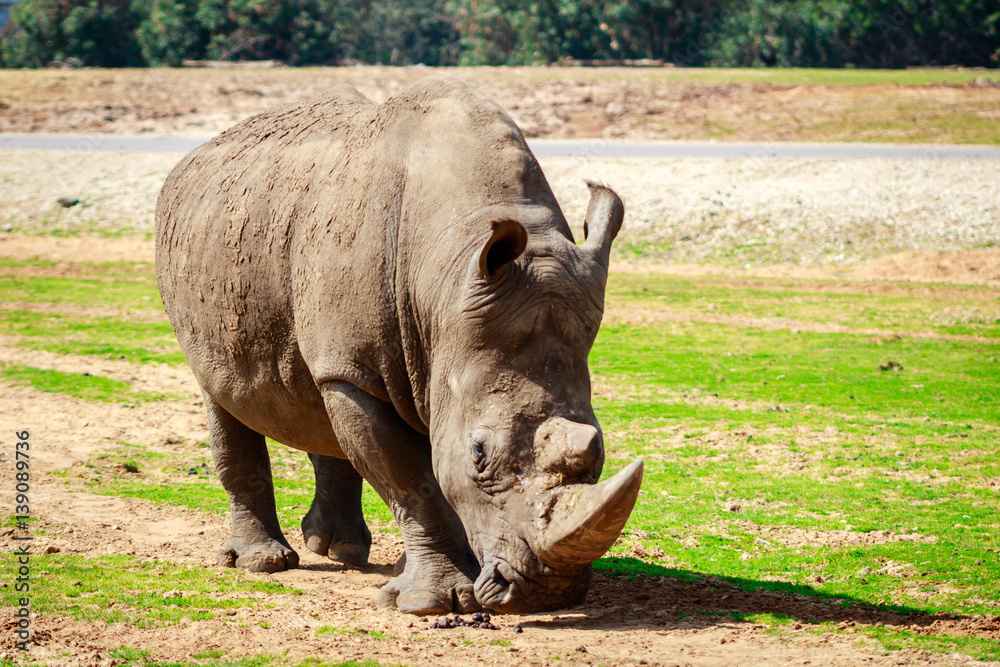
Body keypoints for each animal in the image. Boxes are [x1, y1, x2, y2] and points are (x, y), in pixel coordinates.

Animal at [155, 75, 643, 615]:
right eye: (478, 455)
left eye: (598, 446)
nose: (549, 591)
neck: (445, 284)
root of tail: (195, 156)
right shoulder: (362, 368)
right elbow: (414, 482)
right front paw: (434, 602)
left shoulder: (431, 357)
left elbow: (410, 465)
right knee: (223, 394)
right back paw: (263, 563)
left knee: (320, 402)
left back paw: (341, 551)